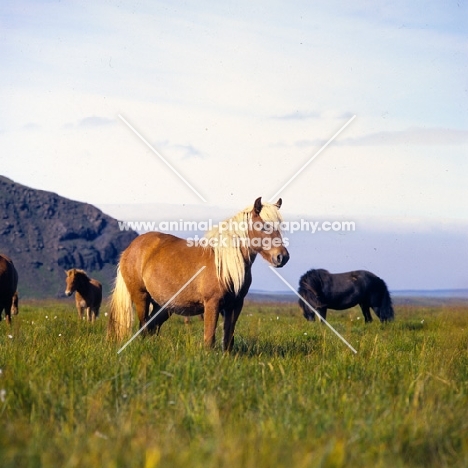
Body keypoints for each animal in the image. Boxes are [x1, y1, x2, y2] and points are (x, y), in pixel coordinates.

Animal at [109, 197, 288, 352]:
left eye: (279, 228)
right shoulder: (212, 304)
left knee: (152, 327)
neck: (224, 264)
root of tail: (130, 248)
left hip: (162, 305)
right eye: (263, 227)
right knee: (144, 326)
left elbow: (228, 338)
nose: (282, 257)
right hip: (141, 297)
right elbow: (210, 337)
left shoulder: (235, 305)